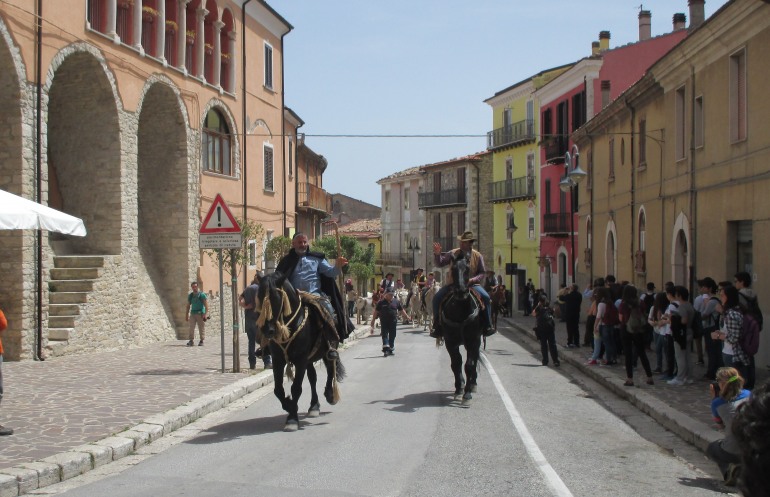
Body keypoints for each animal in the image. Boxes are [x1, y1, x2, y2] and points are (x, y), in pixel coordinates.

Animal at [255, 272, 344, 430]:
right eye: (259, 296)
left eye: (276, 298)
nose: (267, 331)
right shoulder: (278, 360)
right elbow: (278, 389)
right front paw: (289, 406)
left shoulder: (300, 360)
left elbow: (296, 388)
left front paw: (292, 418)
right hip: (309, 360)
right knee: (313, 378)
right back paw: (314, 406)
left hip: (326, 352)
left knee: (330, 368)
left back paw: (330, 394)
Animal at [436, 254, 484, 404]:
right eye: (453, 268)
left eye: (467, 268)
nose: (461, 291)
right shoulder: (450, 342)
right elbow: (456, 363)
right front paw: (459, 388)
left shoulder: (473, 341)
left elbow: (469, 365)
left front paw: (467, 393)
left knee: (474, 360)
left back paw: (473, 384)